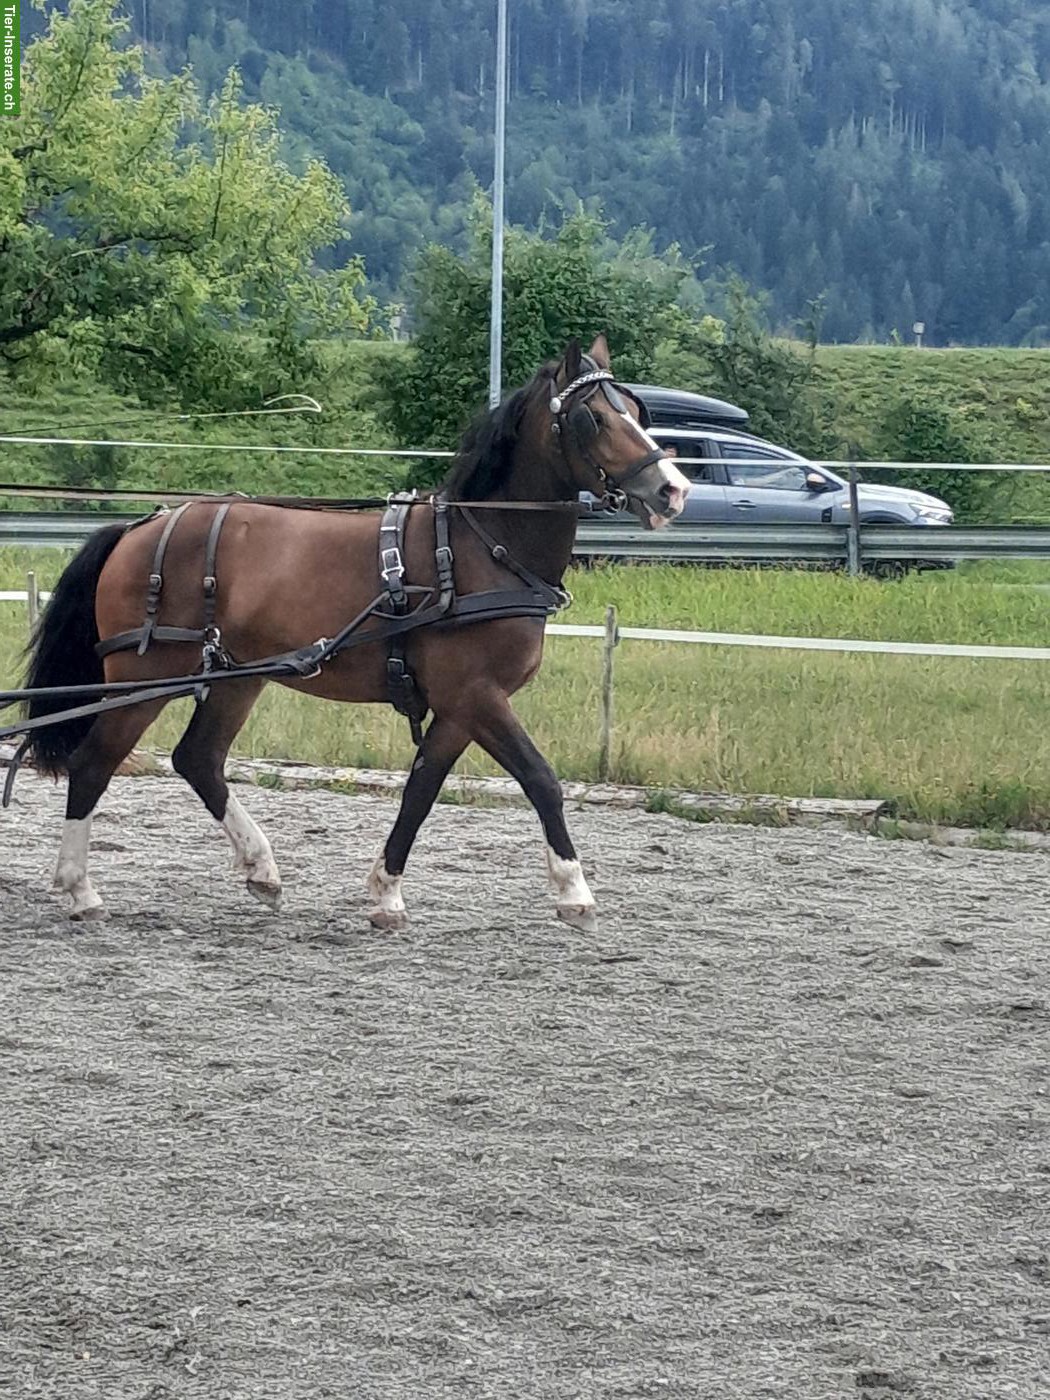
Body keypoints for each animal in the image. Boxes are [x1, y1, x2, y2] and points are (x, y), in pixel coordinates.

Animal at [12, 336, 689, 928]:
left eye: (637, 412)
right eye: (592, 418)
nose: (673, 490)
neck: (480, 547)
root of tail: (140, 526)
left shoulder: (457, 707)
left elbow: (421, 791)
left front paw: (386, 894)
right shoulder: (478, 696)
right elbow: (541, 779)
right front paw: (574, 891)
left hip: (235, 677)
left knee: (197, 759)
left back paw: (261, 868)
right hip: (144, 676)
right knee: (94, 763)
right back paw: (79, 889)